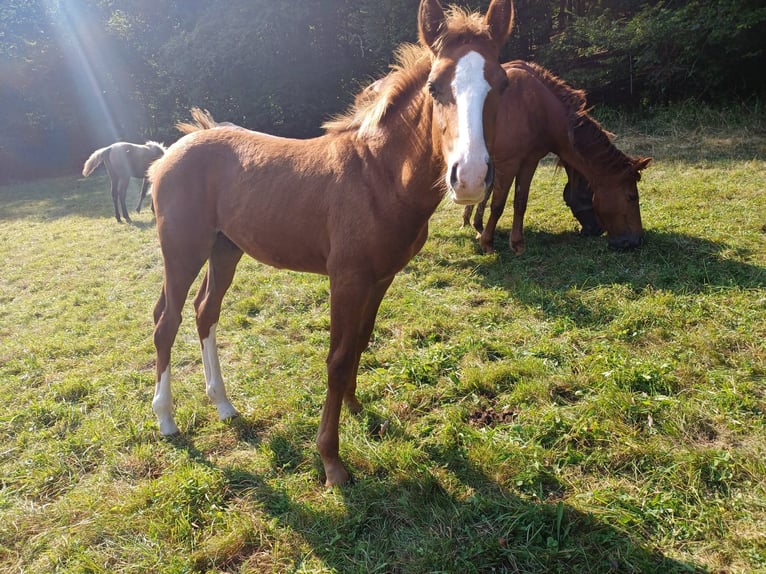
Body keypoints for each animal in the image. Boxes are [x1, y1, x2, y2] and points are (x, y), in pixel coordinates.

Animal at [148, 0, 516, 486]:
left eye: (502, 84)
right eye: (435, 87)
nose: (470, 177)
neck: (379, 176)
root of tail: (170, 150)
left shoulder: (381, 277)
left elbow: (361, 340)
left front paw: (357, 406)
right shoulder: (346, 279)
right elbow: (337, 359)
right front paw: (331, 460)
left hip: (225, 248)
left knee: (205, 311)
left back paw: (224, 405)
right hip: (183, 251)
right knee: (166, 321)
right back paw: (166, 419)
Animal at [464, 60, 652, 254]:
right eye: (631, 197)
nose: (636, 240)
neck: (534, 105)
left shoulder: (529, 162)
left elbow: (520, 202)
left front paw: (516, 243)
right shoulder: (508, 164)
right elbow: (497, 204)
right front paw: (486, 242)